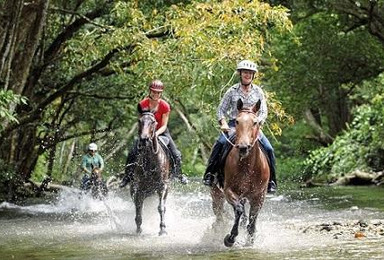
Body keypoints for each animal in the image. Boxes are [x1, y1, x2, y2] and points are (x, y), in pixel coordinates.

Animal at [210, 98, 270, 247]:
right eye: (237, 121)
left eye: (255, 122)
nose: (243, 147)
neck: (248, 166)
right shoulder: (229, 191)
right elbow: (238, 210)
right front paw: (230, 238)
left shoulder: (259, 196)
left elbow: (253, 217)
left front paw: (250, 239)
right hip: (216, 193)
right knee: (219, 214)